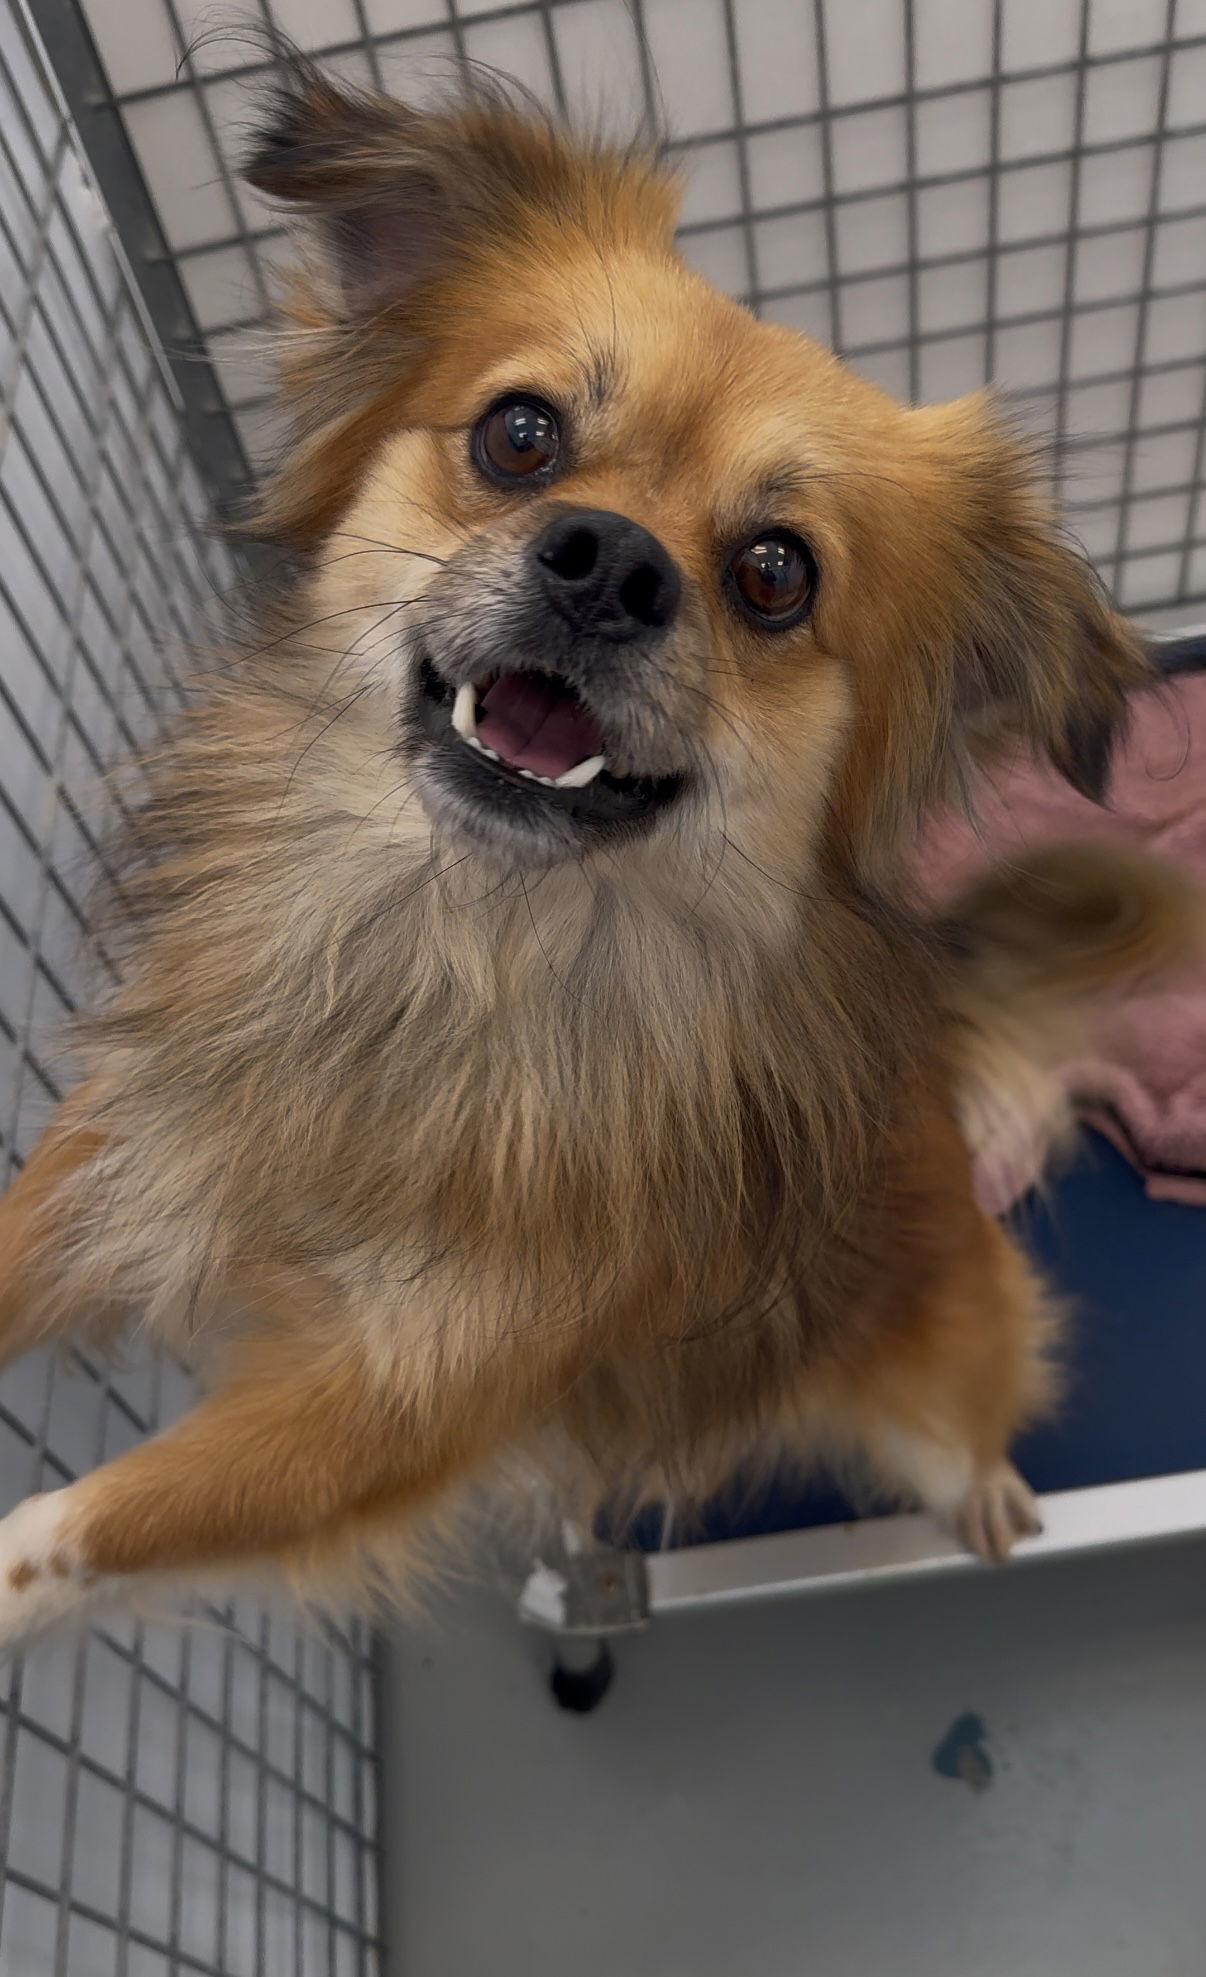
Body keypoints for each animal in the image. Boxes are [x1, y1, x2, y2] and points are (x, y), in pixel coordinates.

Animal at [0, 57, 1194, 1636]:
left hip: (944, 1362)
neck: (443, 946)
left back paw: (987, 1493)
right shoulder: (120, 1145)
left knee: (969, 1416)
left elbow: (61, 1527)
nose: (608, 563)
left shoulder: (382, 1405)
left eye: (774, 574)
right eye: (519, 435)